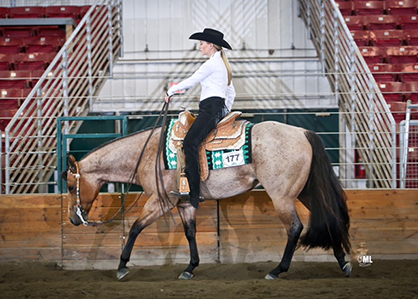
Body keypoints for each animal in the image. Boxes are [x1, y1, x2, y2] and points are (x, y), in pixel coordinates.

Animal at [63, 119, 352, 282]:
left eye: (69, 186)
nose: (73, 219)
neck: (147, 154)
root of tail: (303, 132)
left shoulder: (160, 201)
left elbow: (134, 228)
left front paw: (122, 266)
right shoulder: (184, 203)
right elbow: (190, 233)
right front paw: (190, 268)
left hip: (282, 196)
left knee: (295, 228)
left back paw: (277, 270)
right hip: (303, 192)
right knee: (329, 218)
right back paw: (343, 262)